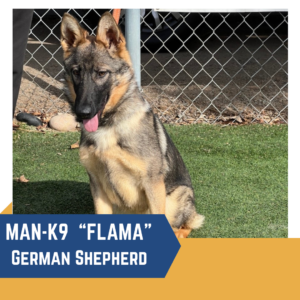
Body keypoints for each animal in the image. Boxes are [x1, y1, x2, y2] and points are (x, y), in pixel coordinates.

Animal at [59, 11, 204, 238]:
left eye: (101, 73)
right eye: (76, 72)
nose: (82, 113)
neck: (108, 127)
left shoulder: (153, 184)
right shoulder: (98, 187)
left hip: (177, 196)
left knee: (185, 224)